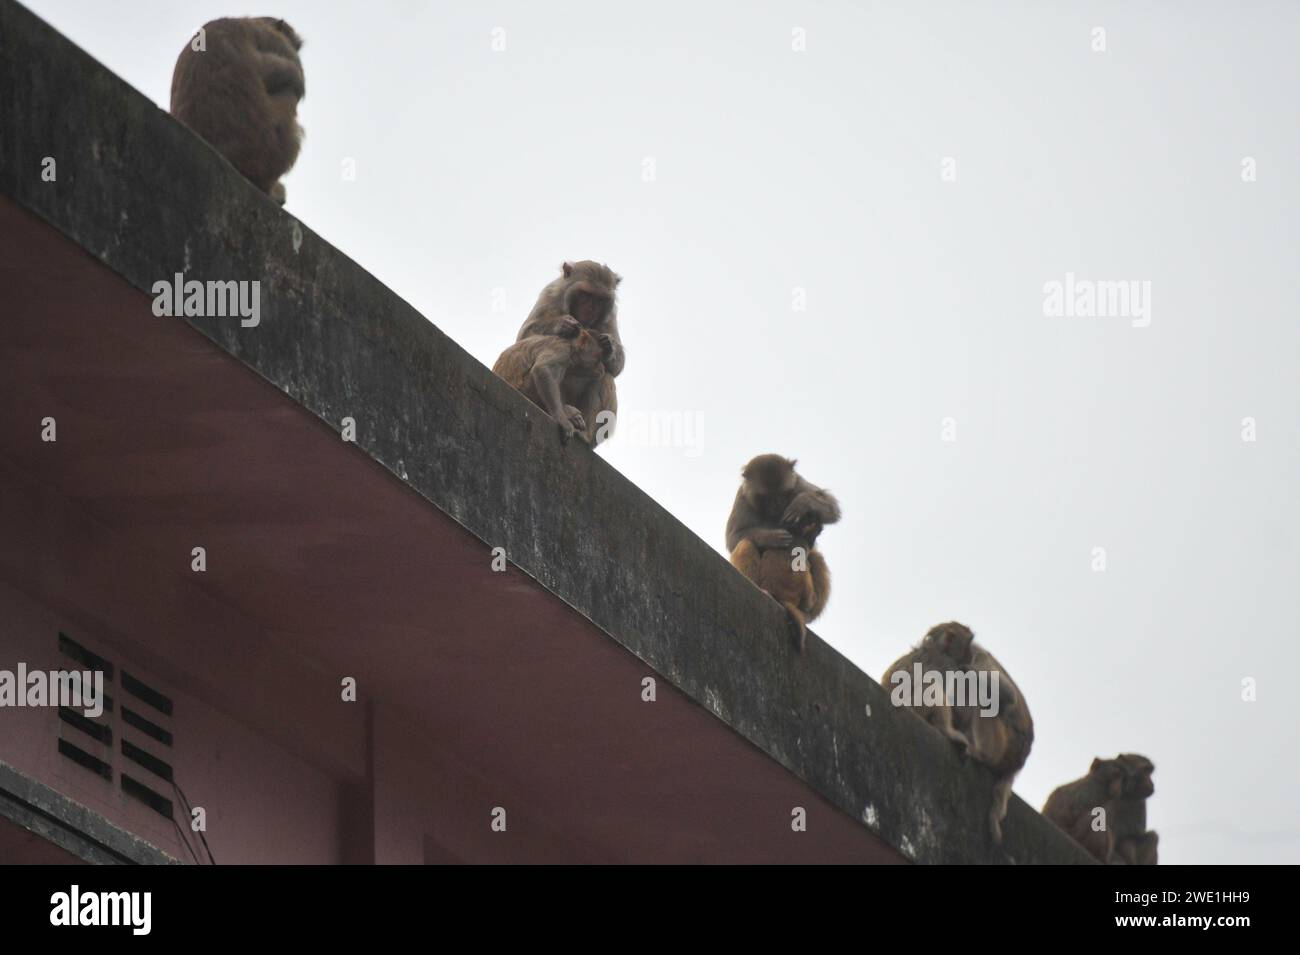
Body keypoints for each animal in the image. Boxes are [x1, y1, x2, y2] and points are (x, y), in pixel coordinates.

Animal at [169, 17, 305, 203]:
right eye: (294, 45)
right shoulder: (275, 40)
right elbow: (282, 73)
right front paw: (296, 76)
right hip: (269, 150)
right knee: (289, 92)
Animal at [512, 257, 624, 444]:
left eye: (599, 300)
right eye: (586, 295)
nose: (591, 309)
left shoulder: (610, 316)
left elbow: (617, 366)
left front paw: (609, 347)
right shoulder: (550, 295)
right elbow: (525, 337)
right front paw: (562, 325)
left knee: (605, 377)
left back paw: (585, 435)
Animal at [728, 454, 837, 649]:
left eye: (781, 494)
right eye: (767, 498)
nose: (776, 504)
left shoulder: (798, 483)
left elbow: (832, 507)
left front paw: (802, 503)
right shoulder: (742, 496)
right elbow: (733, 538)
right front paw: (772, 537)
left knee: (816, 558)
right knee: (745, 543)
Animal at [883, 628, 1034, 841]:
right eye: (966, 645)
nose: (969, 656)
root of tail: (1020, 760)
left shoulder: (959, 661)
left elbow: (1002, 692)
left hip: (1004, 744)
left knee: (978, 694)